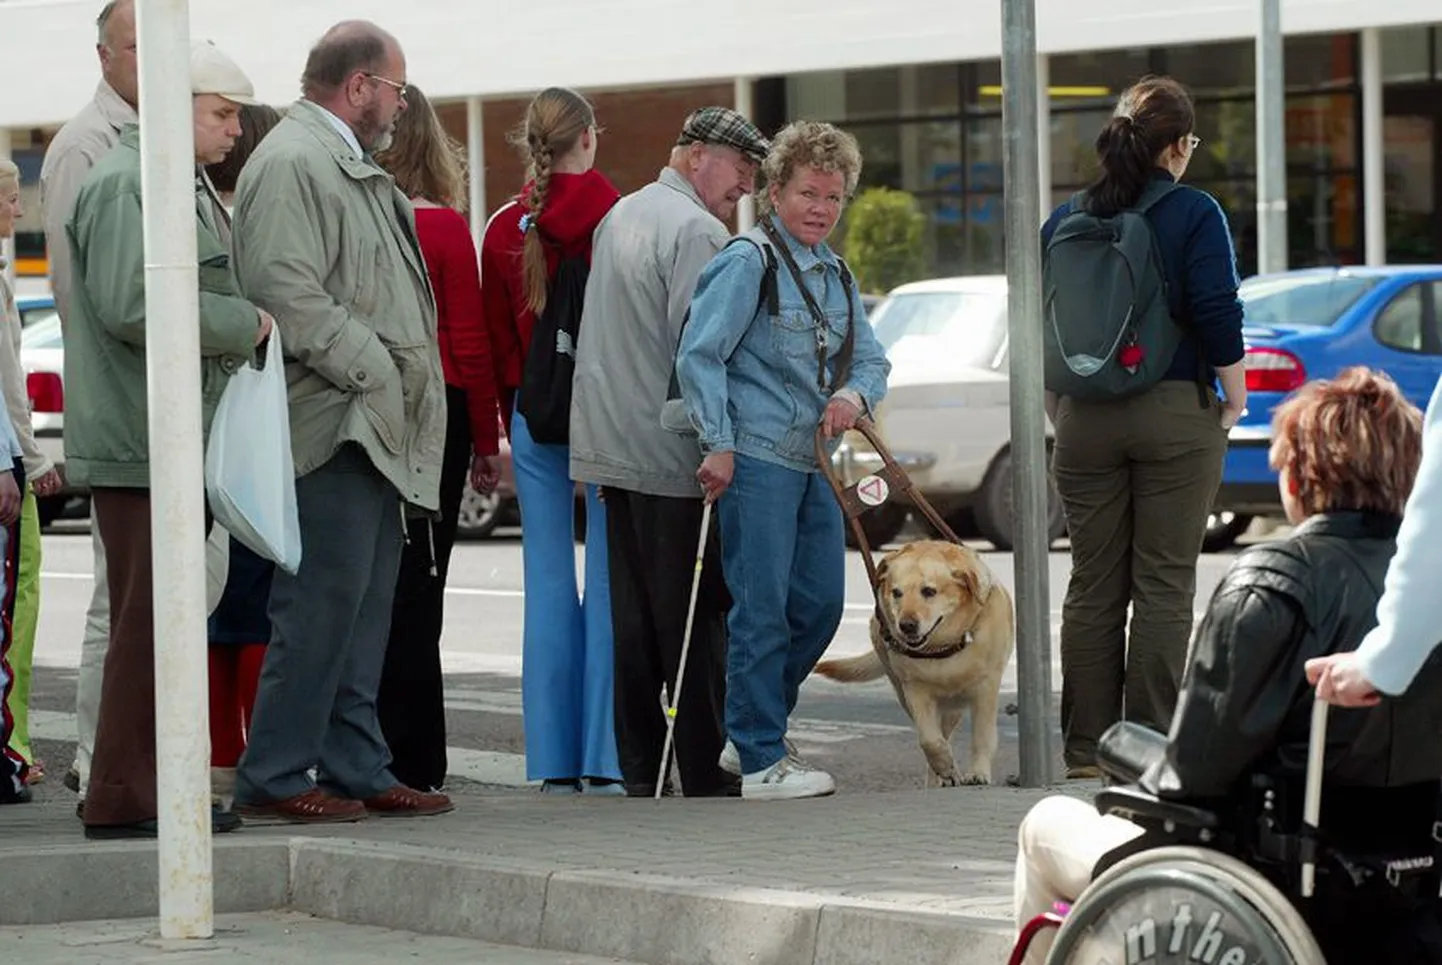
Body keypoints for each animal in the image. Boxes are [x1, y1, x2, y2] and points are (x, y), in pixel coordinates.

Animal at [819, 539, 1009, 784]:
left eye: (929, 591)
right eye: (896, 592)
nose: (906, 626)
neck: (943, 649)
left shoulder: (986, 690)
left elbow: (982, 737)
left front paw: (978, 772)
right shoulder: (915, 691)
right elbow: (930, 739)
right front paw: (944, 765)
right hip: (906, 693)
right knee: (940, 736)